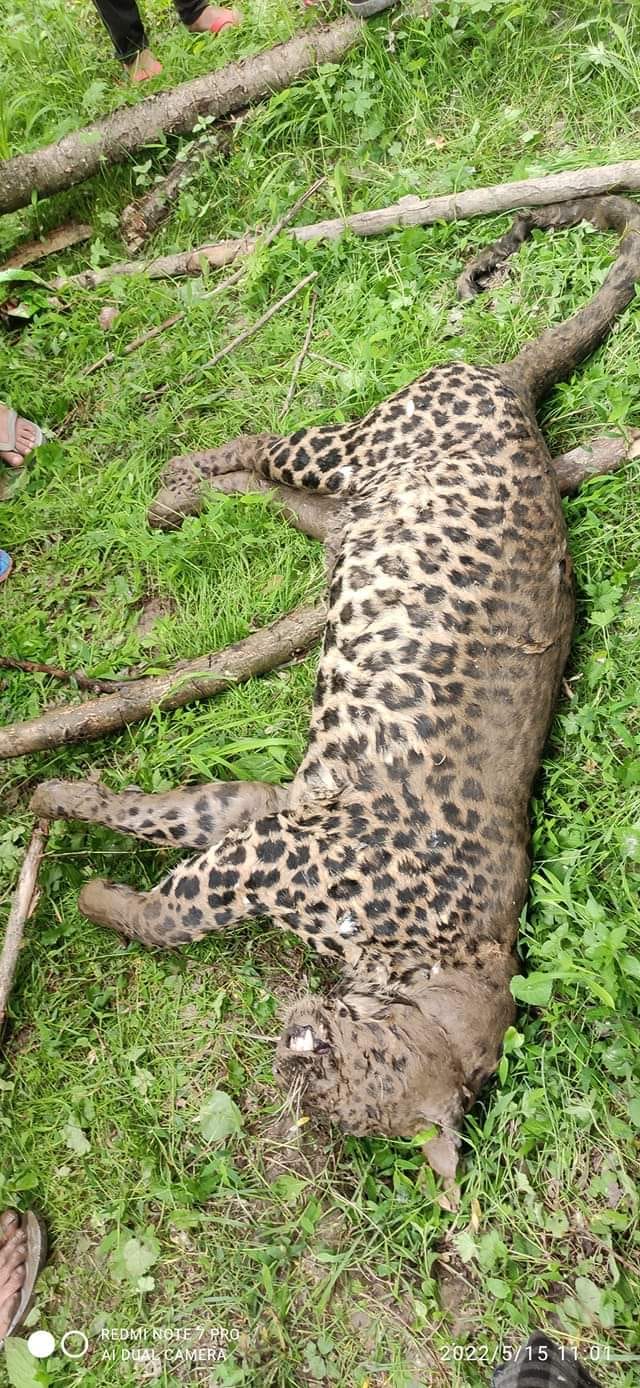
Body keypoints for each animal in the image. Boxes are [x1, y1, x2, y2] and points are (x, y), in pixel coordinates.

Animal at [31, 195, 640, 1181]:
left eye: (336, 1091)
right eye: (346, 1065)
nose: (292, 1041)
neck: (438, 960)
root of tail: (515, 390)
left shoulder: (270, 814)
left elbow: (162, 826)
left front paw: (61, 807)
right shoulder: (272, 849)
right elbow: (172, 909)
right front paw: (95, 891)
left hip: (357, 504)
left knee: (283, 505)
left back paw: (183, 502)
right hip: (356, 443)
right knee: (266, 447)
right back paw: (177, 480)